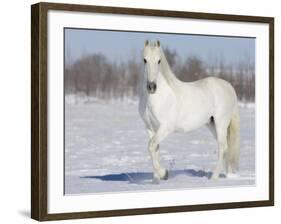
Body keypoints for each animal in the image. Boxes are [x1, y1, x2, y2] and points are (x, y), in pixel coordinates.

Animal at [138, 40, 238, 182]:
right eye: (144, 60)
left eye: (159, 60)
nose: (152, 87)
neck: (157, 98)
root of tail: (229, 86)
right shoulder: (150, 128)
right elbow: (154, 149)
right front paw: (156, 179)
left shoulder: (165, 128)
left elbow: (151, 146)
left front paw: (164, 174)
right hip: (212, 124)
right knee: (225, 147)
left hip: (221, 123)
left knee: (222, 147)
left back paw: (213, 177)